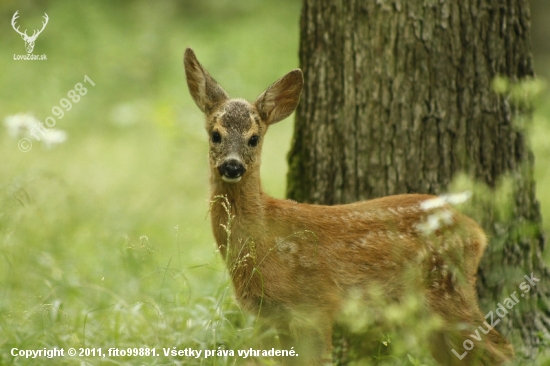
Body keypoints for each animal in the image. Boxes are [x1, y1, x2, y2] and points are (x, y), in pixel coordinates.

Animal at [183, 47, 516, 364]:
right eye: (216, 135)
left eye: (254, 139)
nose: (232, 166)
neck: (265, 237)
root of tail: (476, 232)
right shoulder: (277, 319)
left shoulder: (315, 306)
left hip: (448, 291)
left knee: (502, 348)